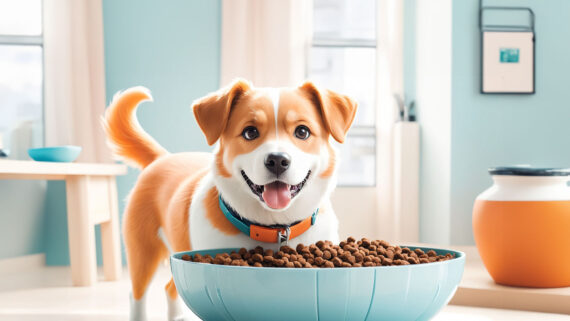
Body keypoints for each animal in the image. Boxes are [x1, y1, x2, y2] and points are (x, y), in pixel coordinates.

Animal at [102, 78, 356, 320]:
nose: (277, 160)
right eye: (250, 132)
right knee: (137, 294)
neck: (274, 227)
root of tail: (162, 158)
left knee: (169, 287)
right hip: (142, 251)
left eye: (302, 132)